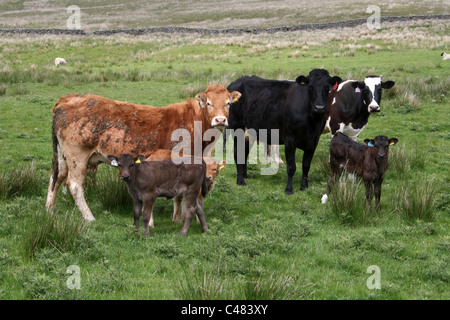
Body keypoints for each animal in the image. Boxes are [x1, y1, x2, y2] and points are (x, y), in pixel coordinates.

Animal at [46, 85, 241, 220]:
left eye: (228, 103)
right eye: (208, 103)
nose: (220, 120)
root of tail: (67, 99)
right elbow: (180, 196)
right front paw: (179, 218)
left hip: (63, 156)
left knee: (56, 177)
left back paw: (49, 210)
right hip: (77, 156)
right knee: (74, 185)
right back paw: (89, 217)